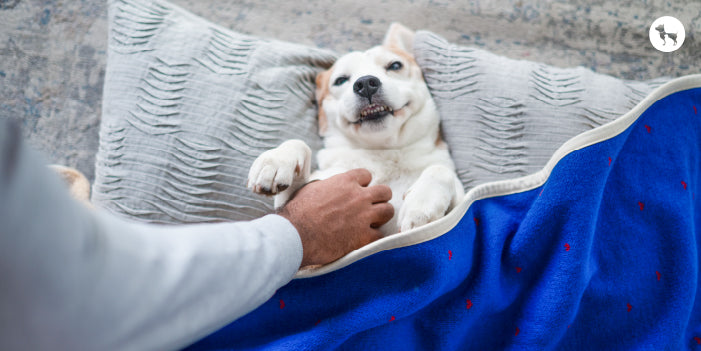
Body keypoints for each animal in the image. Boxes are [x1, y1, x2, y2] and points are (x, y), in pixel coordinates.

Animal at [247, 22, 464, 236]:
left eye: (395, 65)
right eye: (341, 80)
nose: (366, 83)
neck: (383, 152)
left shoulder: (458, 205)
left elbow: (441, 170)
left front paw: (420, 206)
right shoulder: (303, 194)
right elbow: (298, 144)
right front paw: (275, 161)